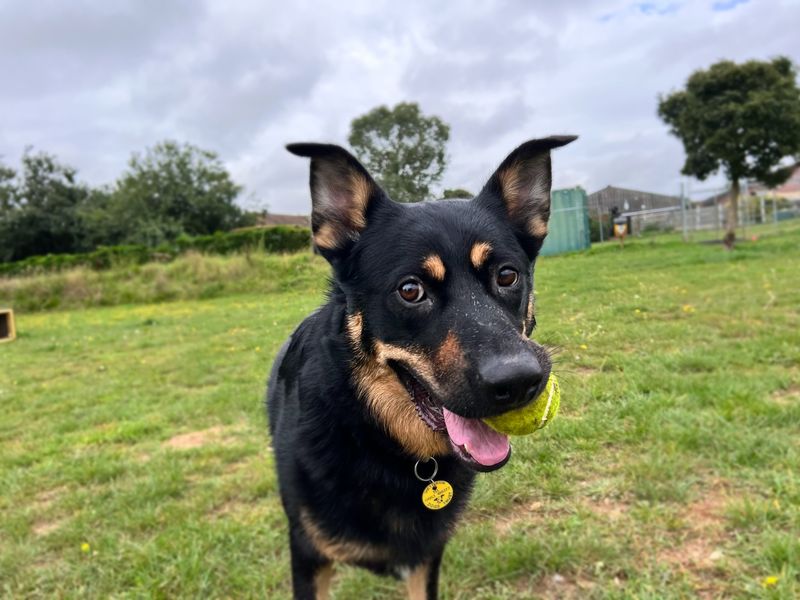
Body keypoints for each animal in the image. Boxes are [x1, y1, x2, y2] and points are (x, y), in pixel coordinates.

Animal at [268, 134, 576, 596]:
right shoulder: (308, 557)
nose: (521, 382)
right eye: (411, 290)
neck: (378, 439)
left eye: (507, 276)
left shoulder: (427, 557)